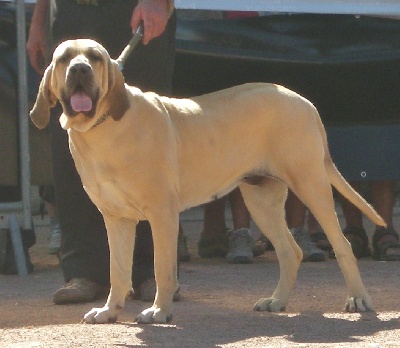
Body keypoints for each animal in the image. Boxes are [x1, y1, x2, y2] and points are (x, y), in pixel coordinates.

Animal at [29, 39, 386, 324]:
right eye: (64, 58)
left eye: (95, 57)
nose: (79, 69)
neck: (103, 128)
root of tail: (305, 102)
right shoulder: (116, 218)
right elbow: (117, 270)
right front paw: (110, 310)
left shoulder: (162, 214)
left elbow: (162, 267)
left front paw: (159, 311)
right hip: (261, 200)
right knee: (290, 252)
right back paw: (277, 301)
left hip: (311, 184)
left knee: (342, 246)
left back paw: (358, 299)